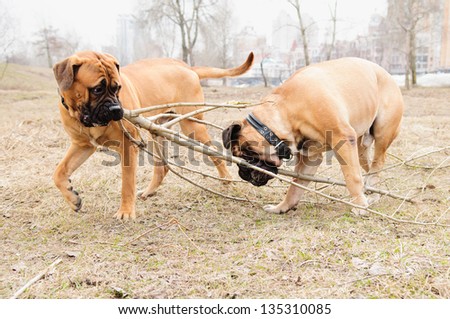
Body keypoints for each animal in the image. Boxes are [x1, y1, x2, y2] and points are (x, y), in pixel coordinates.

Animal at [52, 51, 253, 220]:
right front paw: (72, 198)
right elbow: (59, 172)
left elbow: (127, 183)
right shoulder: (83, 145)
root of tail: (187, 67)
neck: (80, 116)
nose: (116, 109)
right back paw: (150, 191)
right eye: (97, 89)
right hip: (158, 129)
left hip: (192, 125)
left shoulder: (128, 146)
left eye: (117, 88)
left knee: (213, 153)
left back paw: (226, 179)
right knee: (161, 167)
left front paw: (126, 212)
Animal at [223, 58, 402, 216]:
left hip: (382, 133)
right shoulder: (310, 158)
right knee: (371, 167)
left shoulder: (342, 139)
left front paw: (359, 206)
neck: (287, 111)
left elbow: (352, 177)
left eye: (246, 157)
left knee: (378, 162)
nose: (242, 173)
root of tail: (387, 74)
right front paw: (282, 207)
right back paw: (374, 193)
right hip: (360, 149)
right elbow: (295, 188)